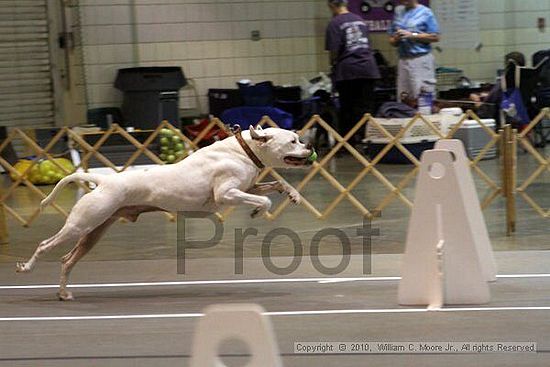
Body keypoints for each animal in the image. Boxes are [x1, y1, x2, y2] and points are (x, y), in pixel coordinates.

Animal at [16, 127, 314, 302]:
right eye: (293, 140)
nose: (310, 148)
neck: (242, 149)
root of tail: (104, 181)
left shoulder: (247, 187)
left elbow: (276, 184)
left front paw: (293, 195)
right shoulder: (227, 194)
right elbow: (264, 198)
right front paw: (257, 210)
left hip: (93, 233)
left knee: (67, 260)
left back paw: (63, 293)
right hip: (80, 226)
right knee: (45, 245)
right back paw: (27, 267)